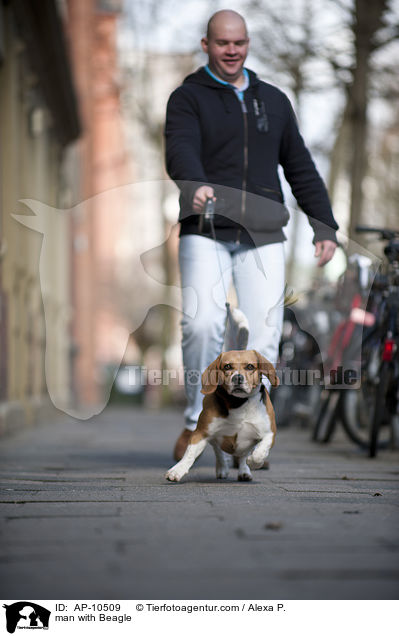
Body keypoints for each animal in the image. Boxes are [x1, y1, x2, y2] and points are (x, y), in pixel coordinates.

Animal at [165, 348, 278, 482]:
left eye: (250, 366)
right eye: (227, 366)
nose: (237, 378)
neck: (238, 403)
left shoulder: (269, 433)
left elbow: (259, 453)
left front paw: (254, 463)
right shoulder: (201, 433)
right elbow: (190, 454)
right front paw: (177, 470)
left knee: (243, 455)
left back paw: (244, 470)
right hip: (214, 438)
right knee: (219, 452)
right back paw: (222, 468)